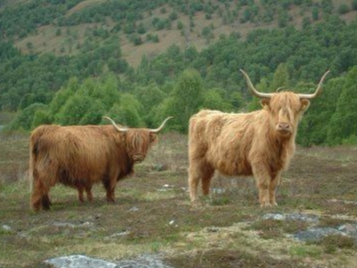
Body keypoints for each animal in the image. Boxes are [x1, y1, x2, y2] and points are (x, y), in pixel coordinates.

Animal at [29, 116, 172, 210]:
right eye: (131, 142)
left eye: (144, 142)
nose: (137, 156)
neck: (120, 146)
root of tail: (42, 130)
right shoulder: (113, 170)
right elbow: (111, 186)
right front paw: (111, 200)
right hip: (48, 167)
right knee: (41, 184)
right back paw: (39, 207)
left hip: (37, 167)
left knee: (41, 185)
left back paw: (47, 205)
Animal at [188, 69, 330, 207]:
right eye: (274, 108)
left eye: (294, 109)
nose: (283, 126)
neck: (279, 143)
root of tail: (201, 113)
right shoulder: (259, 161)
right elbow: (264, 183)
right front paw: (265, 204)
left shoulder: (278, 165)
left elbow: (273, 185)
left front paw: (274, 203)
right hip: (197, 156)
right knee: (194, 176)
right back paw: (195, 200)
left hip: (209, 161)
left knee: (206, 178)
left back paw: (208, 199)